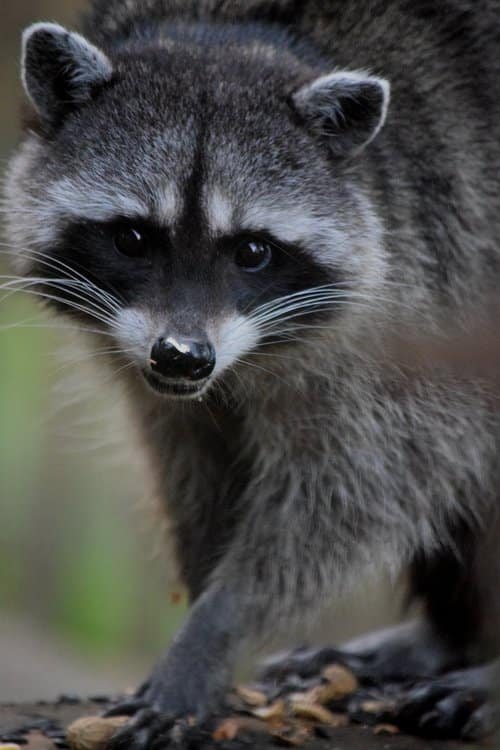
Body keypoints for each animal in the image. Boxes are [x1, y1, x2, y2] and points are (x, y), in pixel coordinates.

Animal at [4, 0, 500, 744]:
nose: (182, 355)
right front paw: (204, 601)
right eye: (133, 238)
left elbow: (370, 487)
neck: (243, 35)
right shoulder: (158, 377)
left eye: (253, 251)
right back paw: (450, 637)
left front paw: (220, 623)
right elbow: (195, 463)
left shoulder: (435, 284)